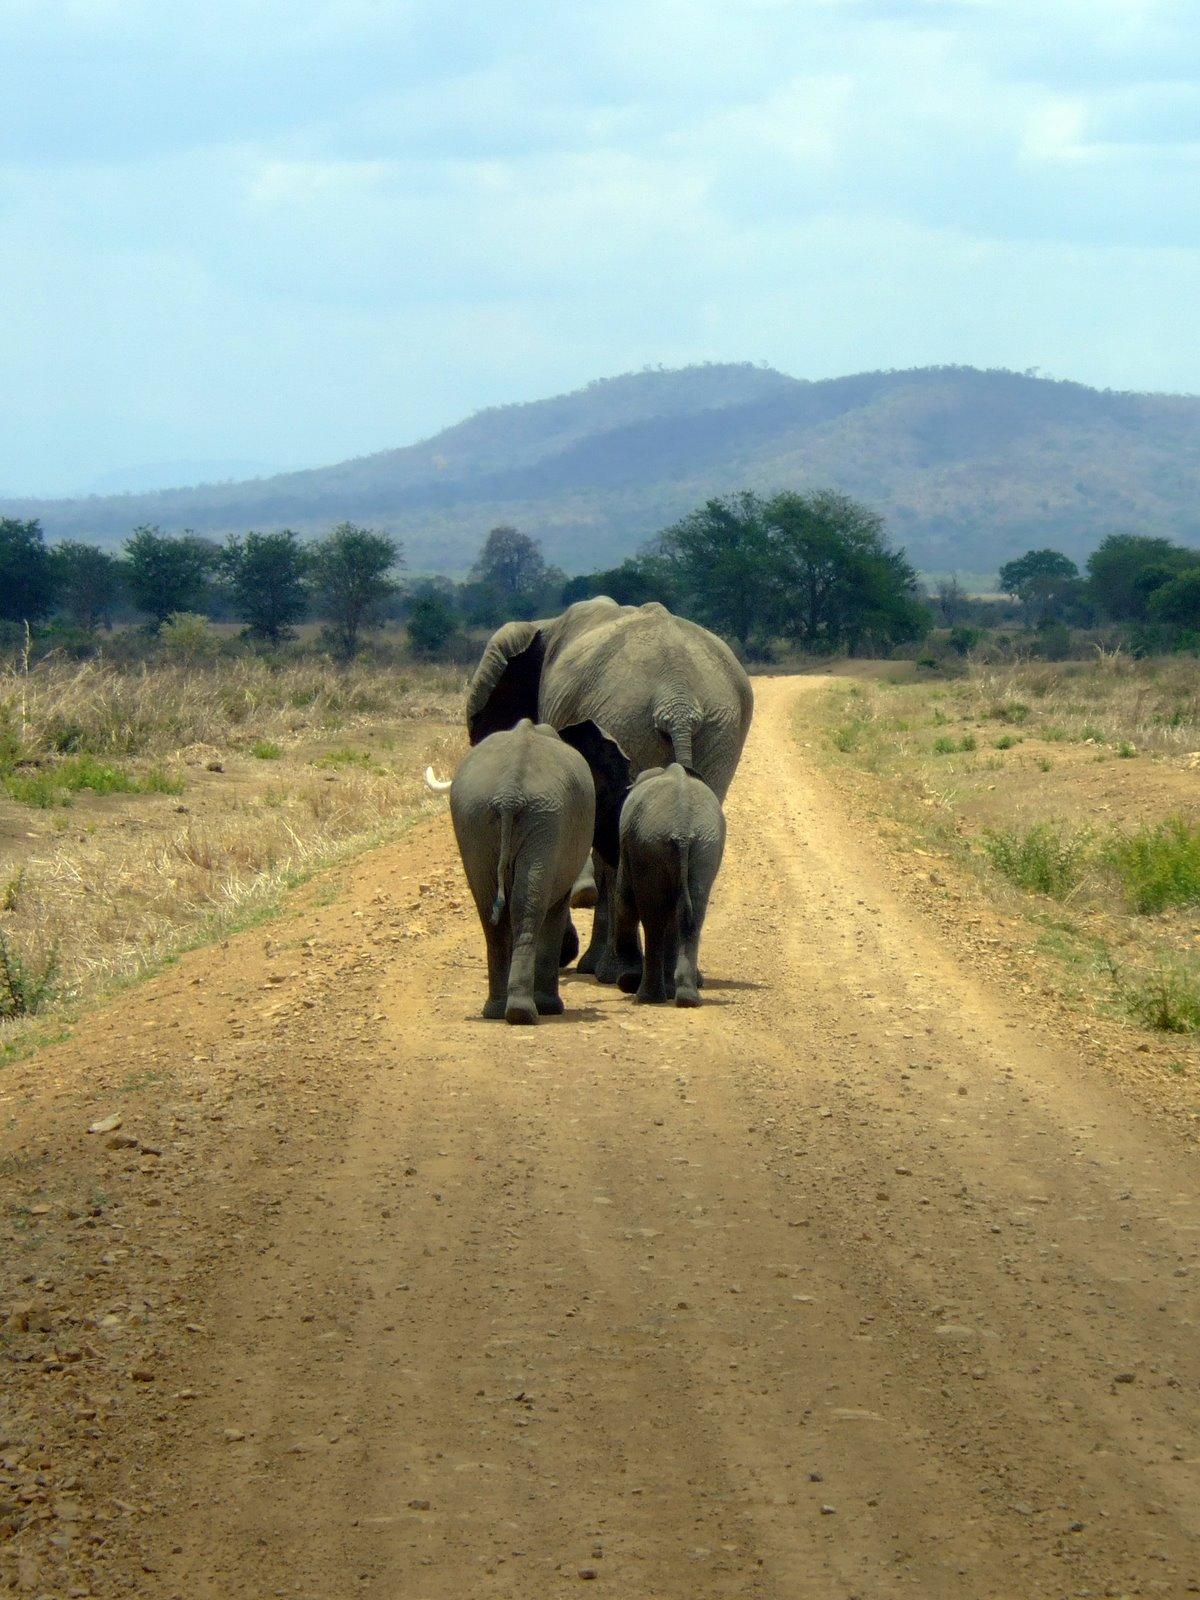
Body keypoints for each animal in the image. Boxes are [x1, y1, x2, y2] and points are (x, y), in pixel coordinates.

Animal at [445, 718, 624, 1025]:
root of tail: (509, 794)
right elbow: (557, 906)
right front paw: (551, 1006)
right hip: (537, 819)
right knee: (528, 908)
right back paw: (526, 1012)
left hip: (481, 819)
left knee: (495, 911)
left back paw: (500, 1011)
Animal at [612, 764, 726, 1006]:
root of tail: (682, 830)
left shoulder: (627, 844)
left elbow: (625, 900)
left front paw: (628, 980)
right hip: (701, 847)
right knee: (691, 913)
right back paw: (687, 999)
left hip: (652, 845)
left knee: (653, 918)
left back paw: (648, 998)